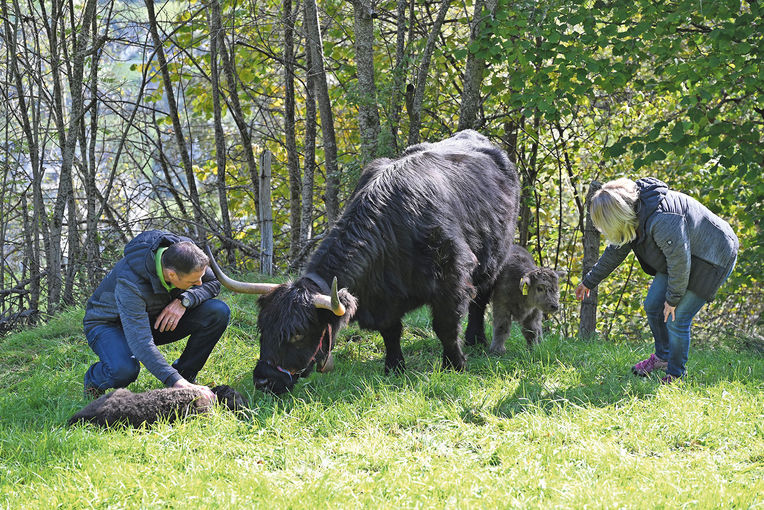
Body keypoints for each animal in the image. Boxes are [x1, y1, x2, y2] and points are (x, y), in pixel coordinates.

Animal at [206, 129, 524, 392]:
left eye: (296, 334)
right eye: (263, 328)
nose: (263, 380)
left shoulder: (452, 278)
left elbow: (446, 326)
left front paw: (455, 365)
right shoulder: (382, 297)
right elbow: (391, 331)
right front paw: (394, 367)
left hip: (494, 256)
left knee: (480, 299)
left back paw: (475, 340)